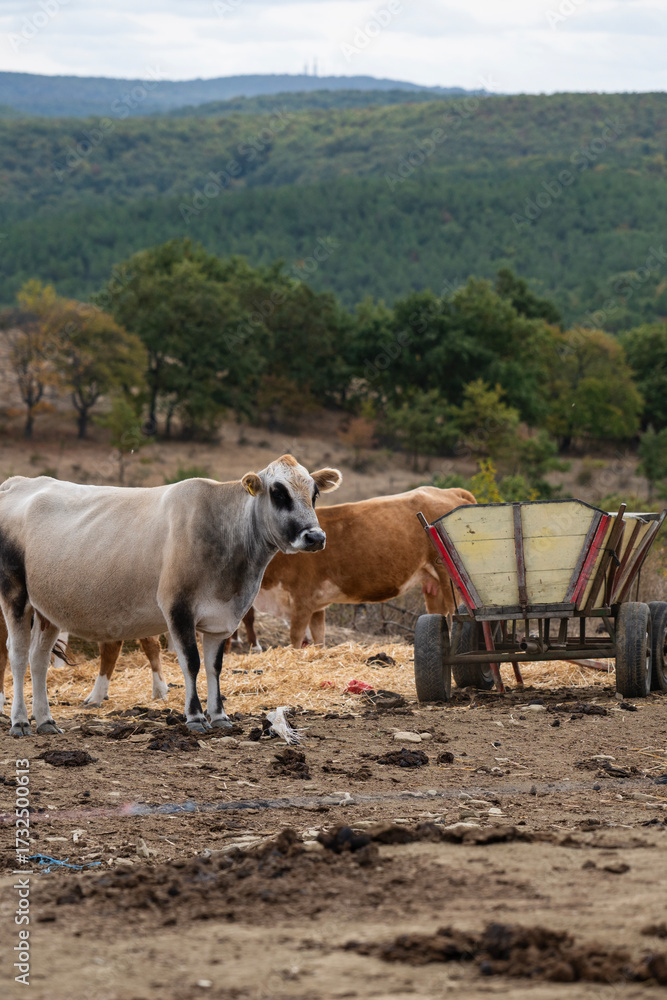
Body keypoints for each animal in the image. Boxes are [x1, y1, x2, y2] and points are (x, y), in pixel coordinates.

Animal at [0, 455, 341, 736]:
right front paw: (195, 717)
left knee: (38, 659)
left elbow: (214, 666)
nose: (315, 536)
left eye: (314, 494)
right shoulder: (178, 608)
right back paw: (20, 721)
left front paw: (220, 716)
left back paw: (45, 720)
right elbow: (191, 662)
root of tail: (16, 482)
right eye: (278, 492)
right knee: (17, 655)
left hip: (48, 609)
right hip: (14, 594)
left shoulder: (221, 619)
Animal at [254, 486, 476, 647]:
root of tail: (449, 491)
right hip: (432, 583)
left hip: (448, 579)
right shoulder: (316, 605)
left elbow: (296, 639)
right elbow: (318, 640)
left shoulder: (302, 601)